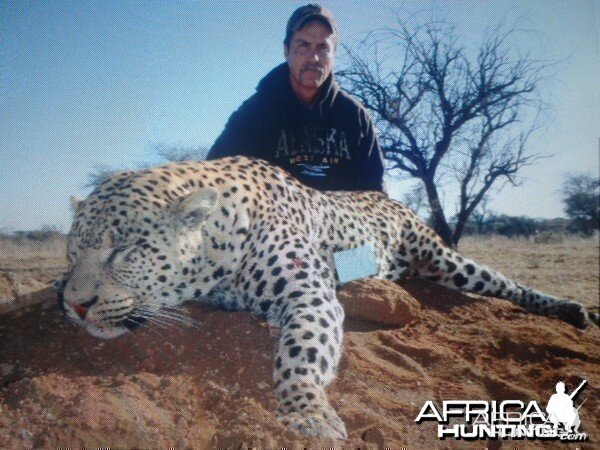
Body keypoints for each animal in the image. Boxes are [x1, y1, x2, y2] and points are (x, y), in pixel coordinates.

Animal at [56, 156, 592, 440]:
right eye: (71, 252)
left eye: (123, 250)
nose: (75, 307)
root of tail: (388, 196)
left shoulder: (310, 296)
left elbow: (299, 355)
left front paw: (307, 413)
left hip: (444, 258)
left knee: (502, 282)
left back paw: (571, 310)